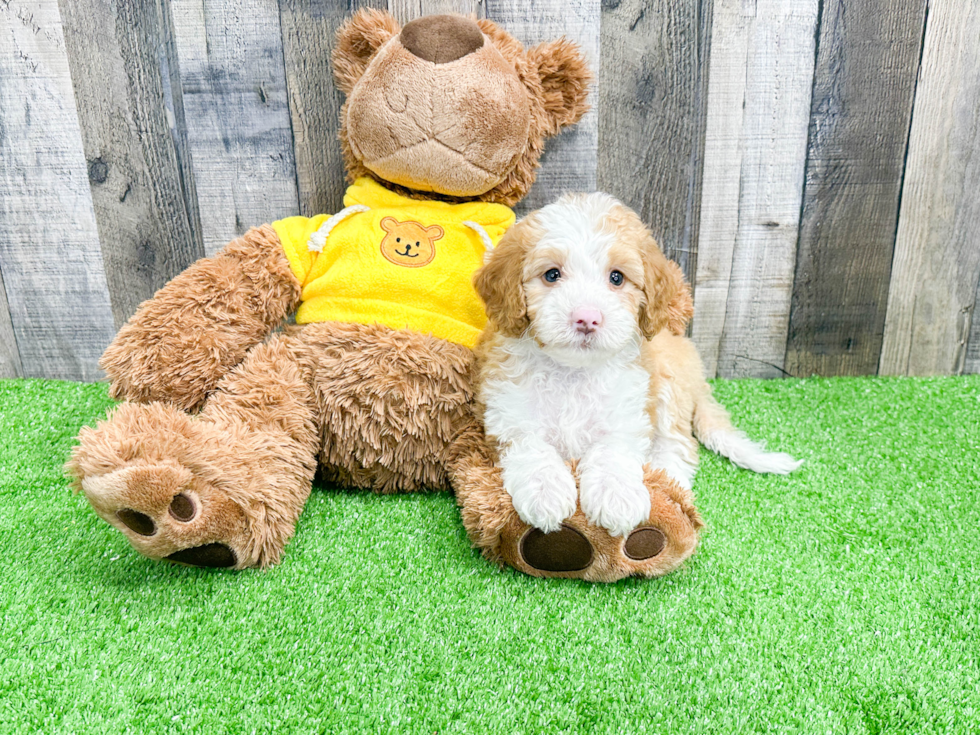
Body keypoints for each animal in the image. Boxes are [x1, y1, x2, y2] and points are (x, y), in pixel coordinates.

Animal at [474, 194, 804, 540]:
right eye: (552, 275)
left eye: (617, 277)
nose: (587, 317)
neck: (573, 371)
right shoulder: (507, 413)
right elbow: (531, 447)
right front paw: (545, 492)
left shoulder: (627, 409)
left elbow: (613, 451)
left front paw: (616, 495)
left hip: (669, 384)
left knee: (679, 444)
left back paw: (666, 481)